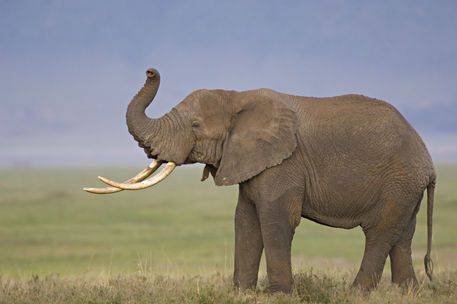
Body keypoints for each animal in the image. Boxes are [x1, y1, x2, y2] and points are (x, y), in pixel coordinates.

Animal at [83, 68, 436, 292]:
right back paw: (407, 292)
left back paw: (356, 293)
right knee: (402, 235)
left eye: (195, 125)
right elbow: (245, 219)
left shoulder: (284, 163)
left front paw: (278, 294)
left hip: (399, 180)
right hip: (406, 186)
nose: (150, 71)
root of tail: (428, 161)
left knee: (379, 233)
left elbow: (276, 218)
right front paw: (241, 292)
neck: (237, 98)